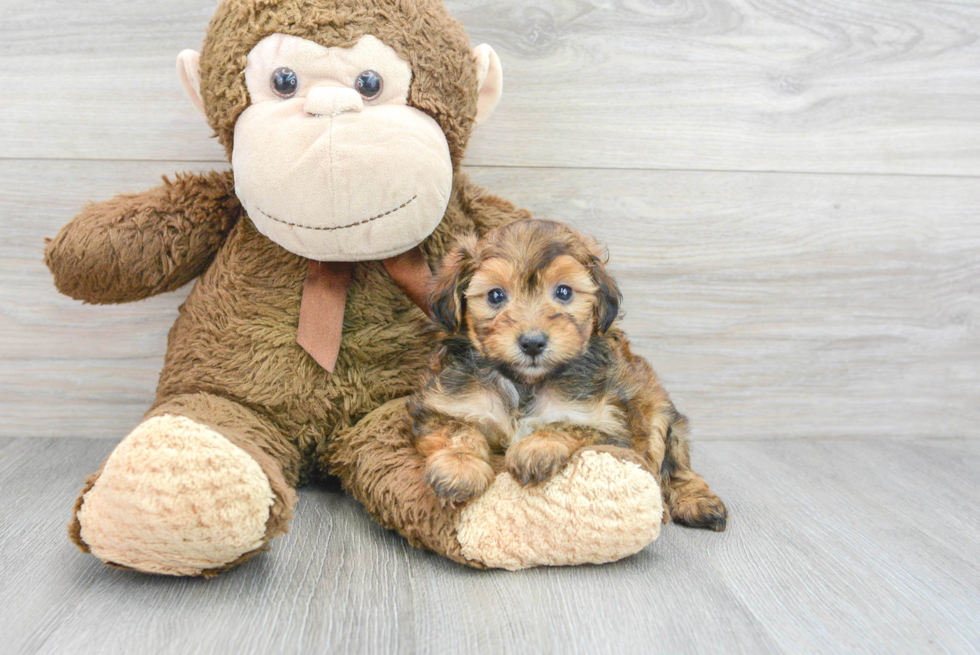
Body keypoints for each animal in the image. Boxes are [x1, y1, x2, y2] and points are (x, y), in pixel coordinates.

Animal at [408, 220, 728, 532]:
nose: (533, 342)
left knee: (675, 467)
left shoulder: (608, 425)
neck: (524, 384)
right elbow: (457, 431)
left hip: (659, 414)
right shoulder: (446, 405)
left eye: (564, 292)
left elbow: (567, 424)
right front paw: (459, 468)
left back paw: (697, 502)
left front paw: (536, 448)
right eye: (495, 295)